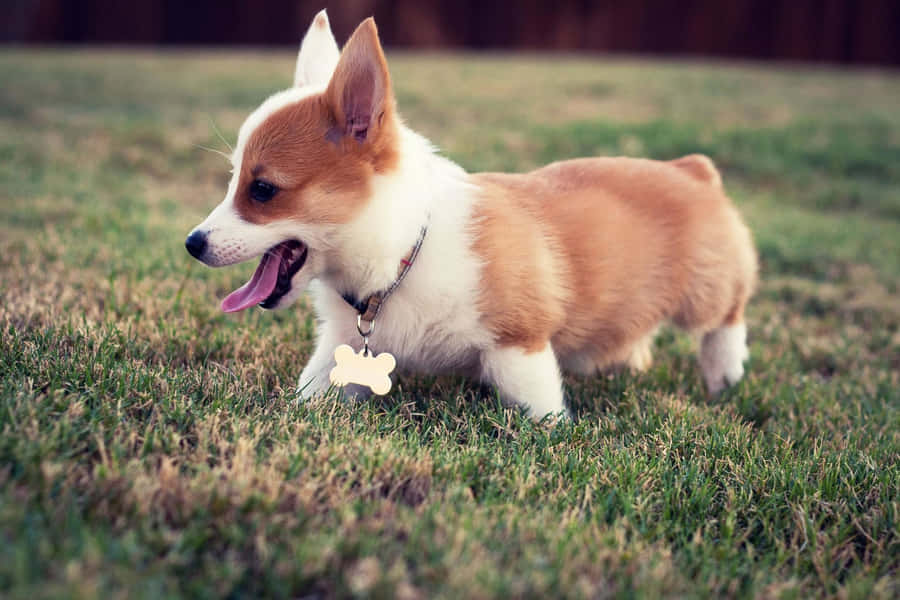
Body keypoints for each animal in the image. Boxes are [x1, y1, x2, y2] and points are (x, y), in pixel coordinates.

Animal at [186, 11, 756, 420]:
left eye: (263, 190)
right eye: (234, 179)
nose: (193, 243)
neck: (401, 256)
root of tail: (692, 170)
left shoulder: (518, 346)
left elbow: (540, 409)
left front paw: (553, 434)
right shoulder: (340, 348)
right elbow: (311, 392)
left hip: (706, 290)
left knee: (726, 317)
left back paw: (725, 376)